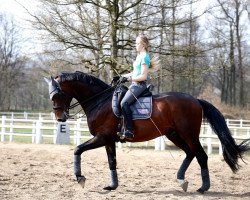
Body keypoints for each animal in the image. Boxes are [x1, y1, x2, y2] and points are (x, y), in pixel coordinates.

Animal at [44, 71, 249, 193]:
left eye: (56, 95)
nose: (60, 119)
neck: (100, 101)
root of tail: (196, 100)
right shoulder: (109, 140)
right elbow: (112, 162)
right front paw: (112, 185)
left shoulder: (102, 137)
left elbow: (77, 149)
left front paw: (80, 178)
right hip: (173, 134)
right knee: (190, 154)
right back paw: (181, 180)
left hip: (189, 134)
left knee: (201, 155)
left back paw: (203, 187)